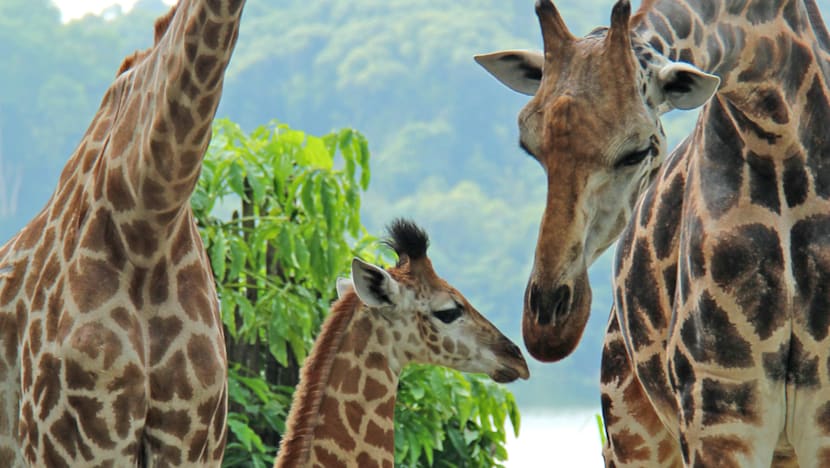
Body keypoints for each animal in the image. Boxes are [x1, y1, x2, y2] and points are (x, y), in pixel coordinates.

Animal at [477, 0, 830, 466]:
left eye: (636, 151)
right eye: (531, 147)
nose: (548, 325)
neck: (778, 133)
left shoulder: (814, 421)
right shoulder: (719, 410)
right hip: (630, 432)